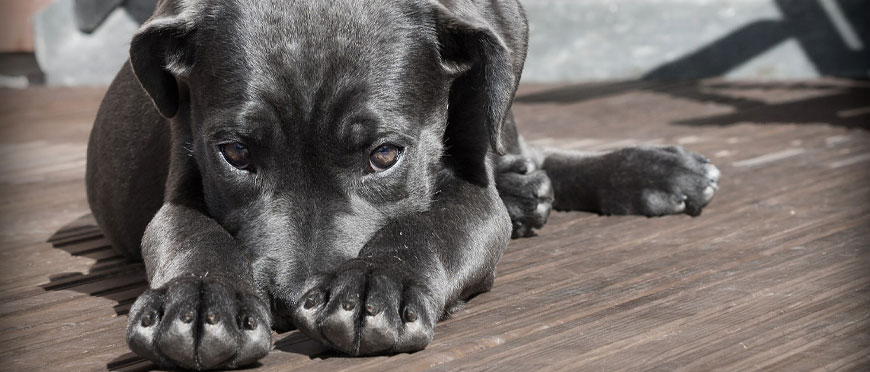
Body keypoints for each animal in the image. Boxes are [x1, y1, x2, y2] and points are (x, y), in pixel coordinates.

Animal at [85, 0, 724, 370]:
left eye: (386, 155)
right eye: (235, 153)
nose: (289, 302)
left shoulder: (473, 192)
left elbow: (434, 224)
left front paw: (376, 284)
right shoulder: (181, 181)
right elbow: (191, 232)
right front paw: (199, 301)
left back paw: (650, 170)